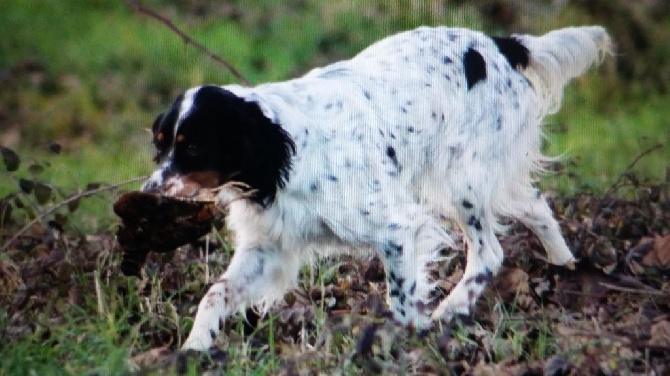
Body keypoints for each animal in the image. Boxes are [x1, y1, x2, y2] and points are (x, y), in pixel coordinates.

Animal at [142, 25, 616, 350]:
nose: (148, 193)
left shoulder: (396, 230)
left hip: (460, 181)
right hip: (484, 177)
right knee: (535, 204)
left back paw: (452, 309)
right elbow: (216, 293)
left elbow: (403, 302)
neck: (283, 150)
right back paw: (565, 265)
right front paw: (195, 347)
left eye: (194, 147)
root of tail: (500, 44)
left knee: (489, 252)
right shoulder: (268, 247)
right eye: (161, 144)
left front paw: (413, 342)